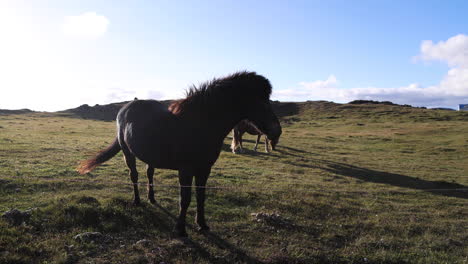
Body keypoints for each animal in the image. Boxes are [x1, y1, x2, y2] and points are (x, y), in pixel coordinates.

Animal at [77, 71, 282, 236]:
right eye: (260, 101)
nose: (276, 131)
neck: (198, 126)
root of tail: (125, 109)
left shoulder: (204, 169)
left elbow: (201, 197)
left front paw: (202, 225)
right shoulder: (186, 170)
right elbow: (185, 199)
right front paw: (181, 229)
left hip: (151, 156)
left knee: (149, 173)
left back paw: (152, 198)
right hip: (128, 153)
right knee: (133, 175)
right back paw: (137, 200)